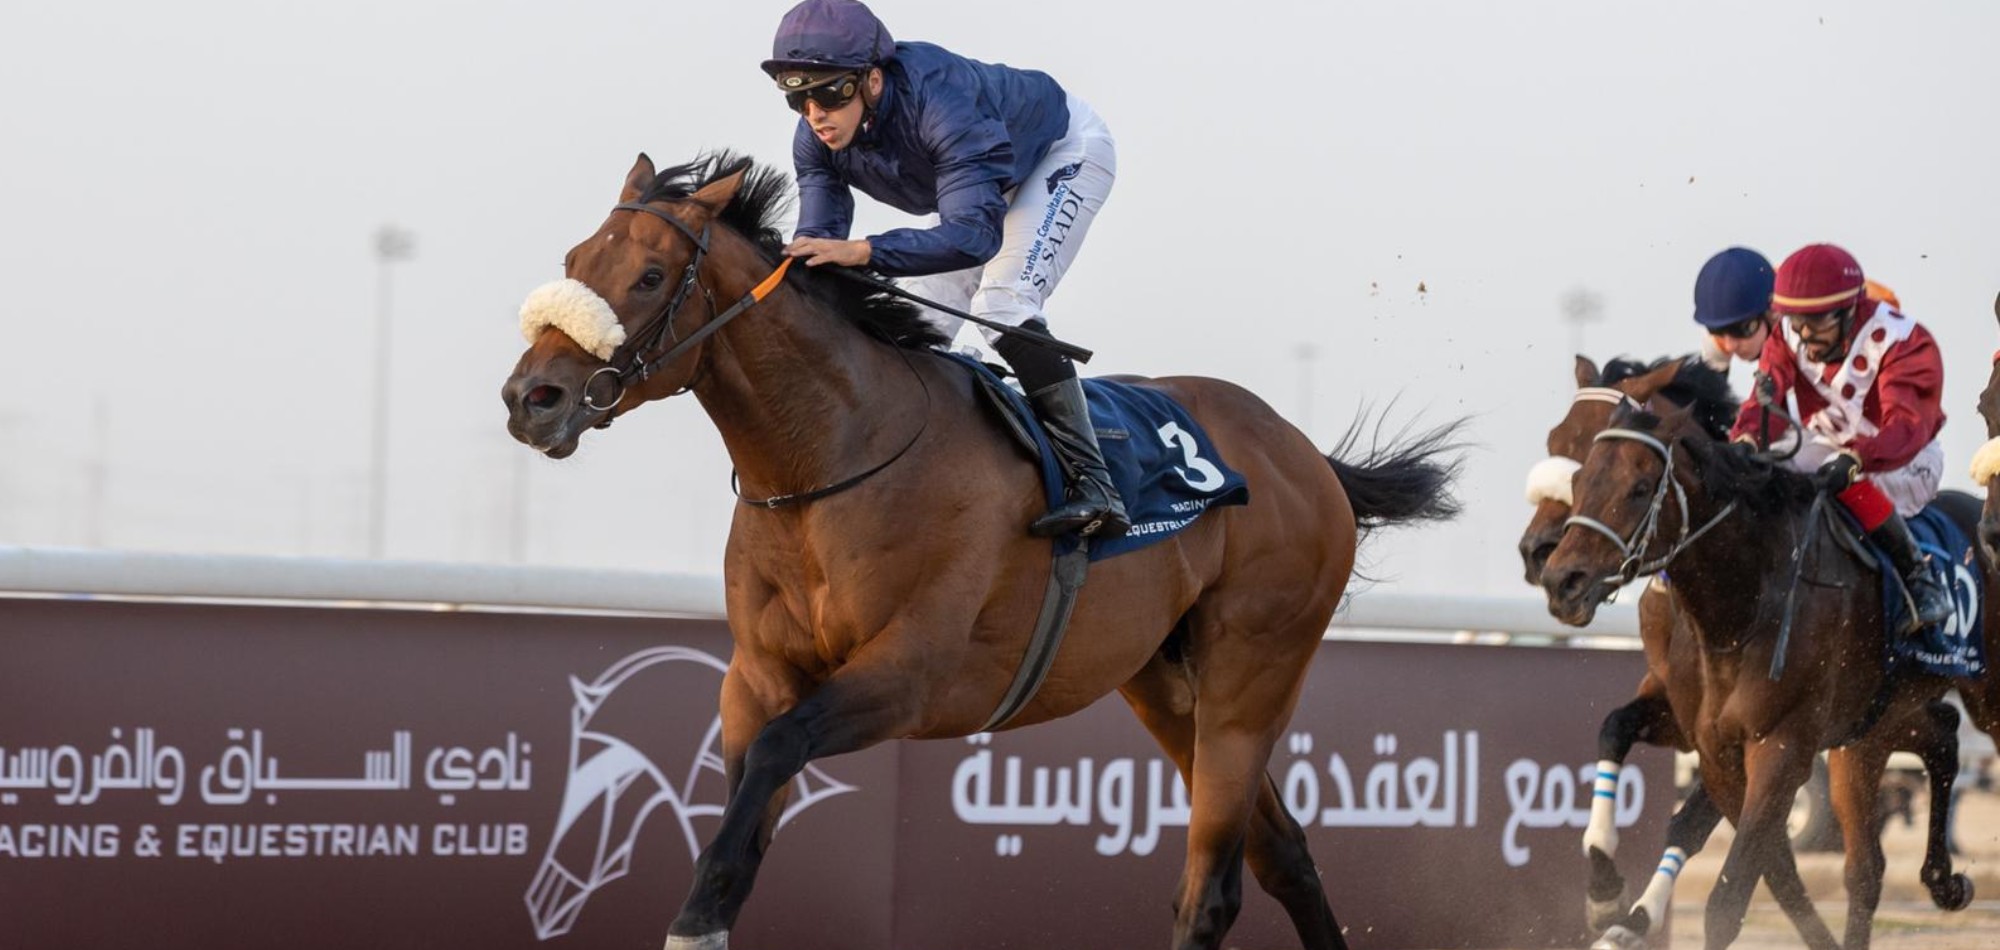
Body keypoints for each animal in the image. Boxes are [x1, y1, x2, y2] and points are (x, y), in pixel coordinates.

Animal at [500, 152, 1464, 948]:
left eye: (650, 275)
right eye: (576, 262)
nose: (530, 399)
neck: (830, 460)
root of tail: (1306, 456)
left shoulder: (911, 677)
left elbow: (776, 756)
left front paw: (694, 914)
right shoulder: (757, 677)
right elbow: (745, 800)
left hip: (1252, 675)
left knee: (1213, 890)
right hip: (1164, 683)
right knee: (1285, 856)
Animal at [1536, 404, 1992, 950]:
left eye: (1641, 488)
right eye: (1580, 479)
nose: (1561, 581)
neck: (1745, 605)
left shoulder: (1781, 746)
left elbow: (1729, 897)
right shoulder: (1707, 740)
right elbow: (1774, 871)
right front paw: (1607, 899)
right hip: (1872, 724)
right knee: (1916, 779)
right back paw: (1943, 880)